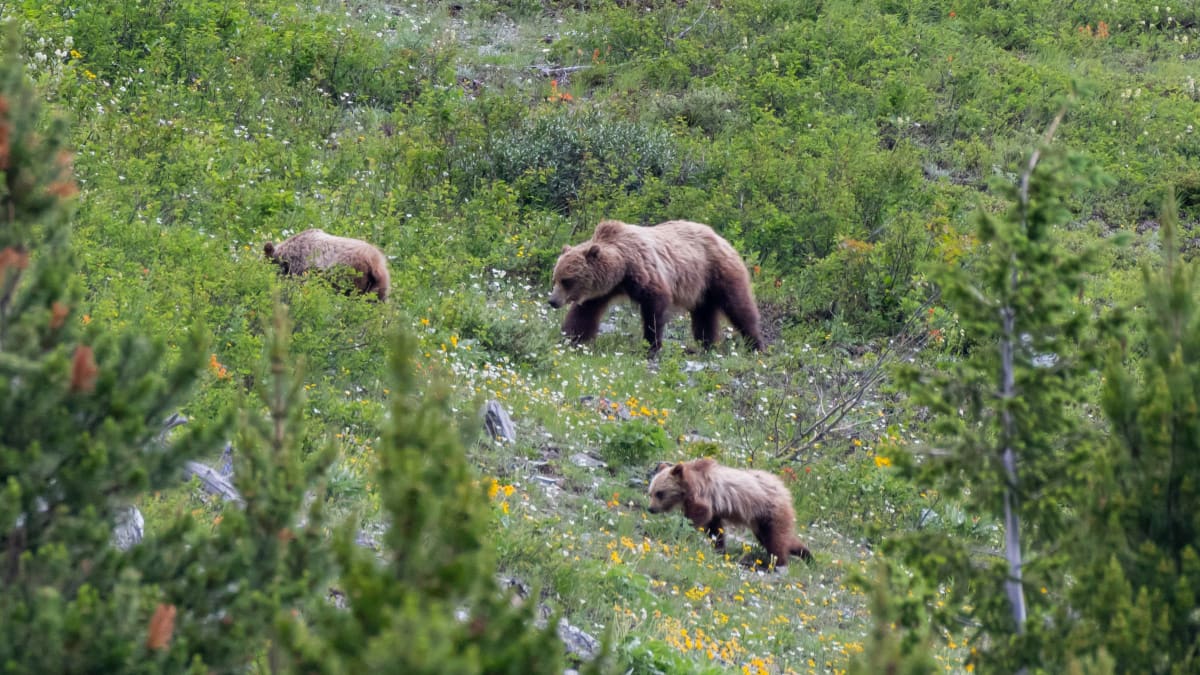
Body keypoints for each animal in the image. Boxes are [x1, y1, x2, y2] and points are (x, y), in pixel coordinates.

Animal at [548, 219, 764, 355]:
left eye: (567, 280)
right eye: (555, 278)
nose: (552, 301)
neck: (621, 270)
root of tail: (722, 238)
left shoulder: (644, 271)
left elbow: (654, 307)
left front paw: (651, 346)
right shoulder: (600, 291)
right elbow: (583, 315)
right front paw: (570, 338)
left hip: (717, 271)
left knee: (738, 306)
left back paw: (755, 344)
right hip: (701, 288)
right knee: (704, 315)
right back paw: (707, 345)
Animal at [647, 458, 813, 569]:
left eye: (659, 493)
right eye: (651, 493)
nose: (651, 509)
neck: (689, 485)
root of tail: (785, 490)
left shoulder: (703, 495)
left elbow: (698, 515)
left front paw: (679, 532)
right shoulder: (714, 507)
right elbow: (714, 527)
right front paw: (719, 547)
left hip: (772, 511)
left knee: (776, 539)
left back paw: (778, 563)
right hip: (762, 520)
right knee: (774, 538)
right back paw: (806, 554)